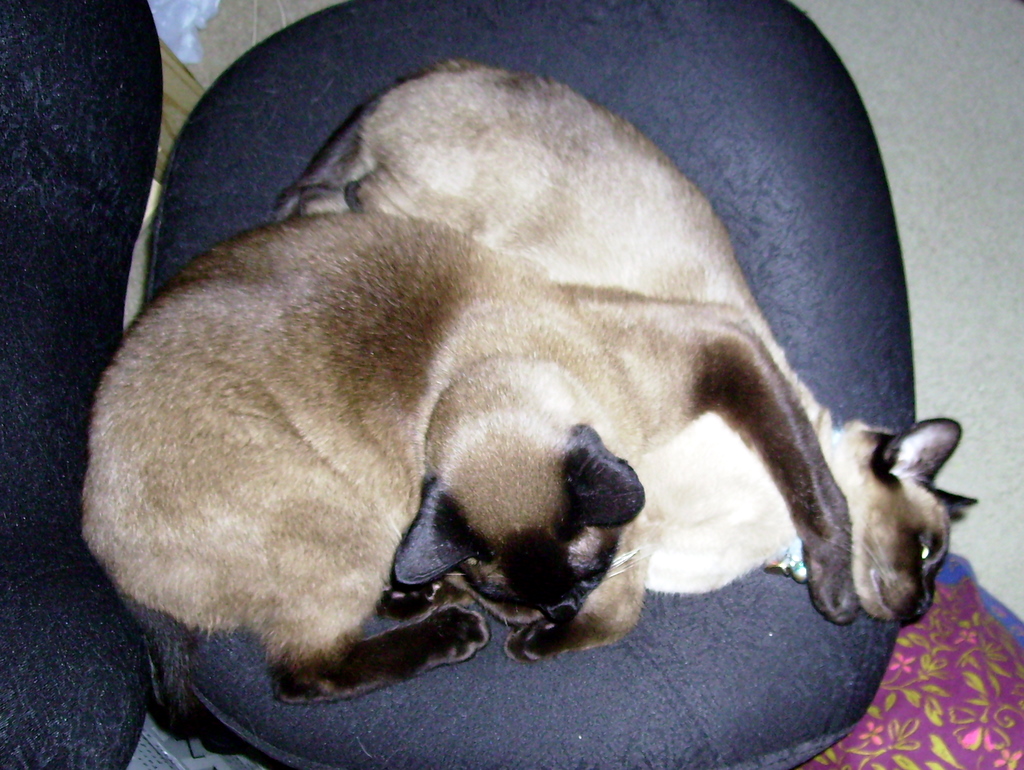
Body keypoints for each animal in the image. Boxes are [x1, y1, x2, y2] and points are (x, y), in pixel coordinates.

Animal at [277, 59, 974, 622]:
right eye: (927, 551)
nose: (922, 607)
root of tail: (442, 67)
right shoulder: (728, 359)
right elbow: (821, 495)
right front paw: (837, 599)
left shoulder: (638, 552)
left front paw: (425, 598)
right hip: (426, 205)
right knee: (344, 194)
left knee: (312, 195)